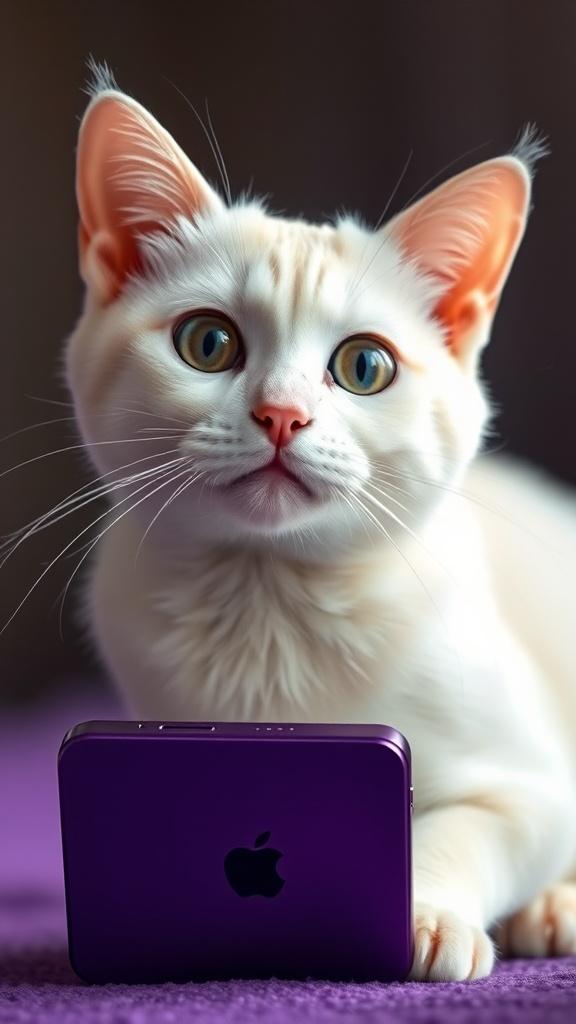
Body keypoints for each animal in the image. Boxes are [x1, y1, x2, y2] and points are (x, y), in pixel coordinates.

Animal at [62, 68, 573, 978]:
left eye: (364, 366)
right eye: (206, 343)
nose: (282, 415)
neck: (268, 605)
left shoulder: (538, 788)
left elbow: (469, 825)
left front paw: (425, 912)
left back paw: (552, 909)